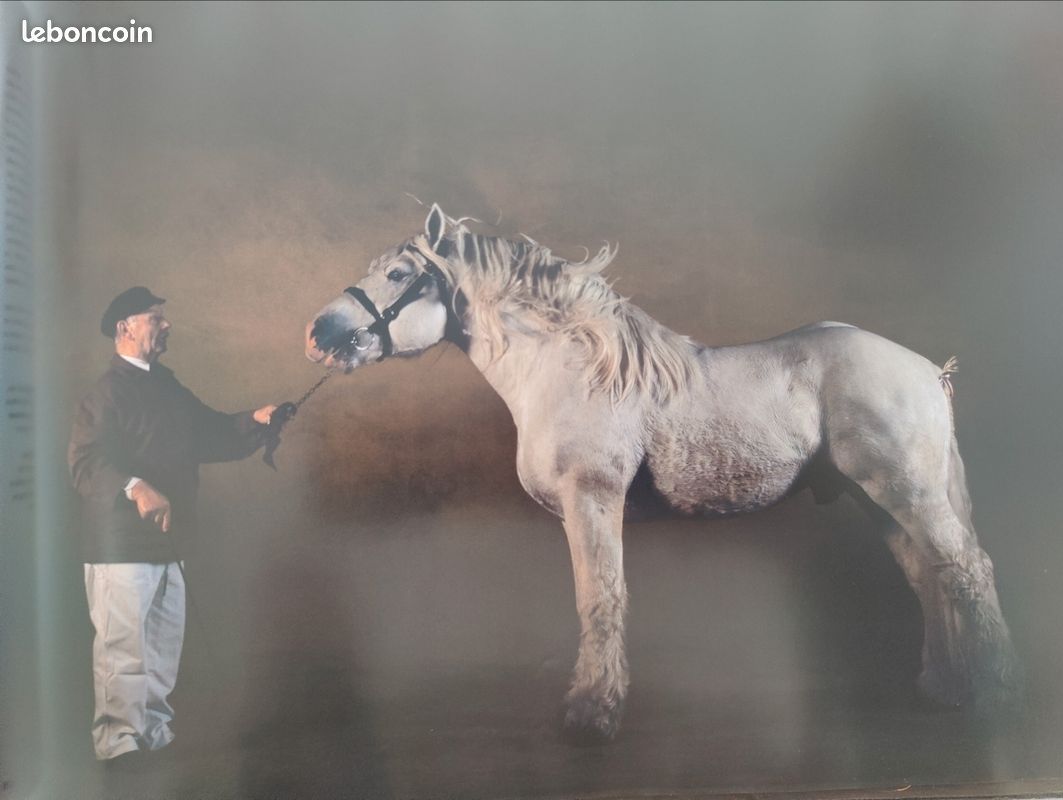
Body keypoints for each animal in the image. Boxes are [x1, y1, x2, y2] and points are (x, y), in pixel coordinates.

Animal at [304, 204, 1021, 742]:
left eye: (399, 272)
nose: (318, 333)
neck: (570, 369)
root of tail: (926, 369)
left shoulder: (591, 498)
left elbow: (599, 597)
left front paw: (591, 714)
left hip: (907, 492)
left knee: (967, 569)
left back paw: (992, 688)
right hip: (879, 500)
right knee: (930, 576)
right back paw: (944, 687)